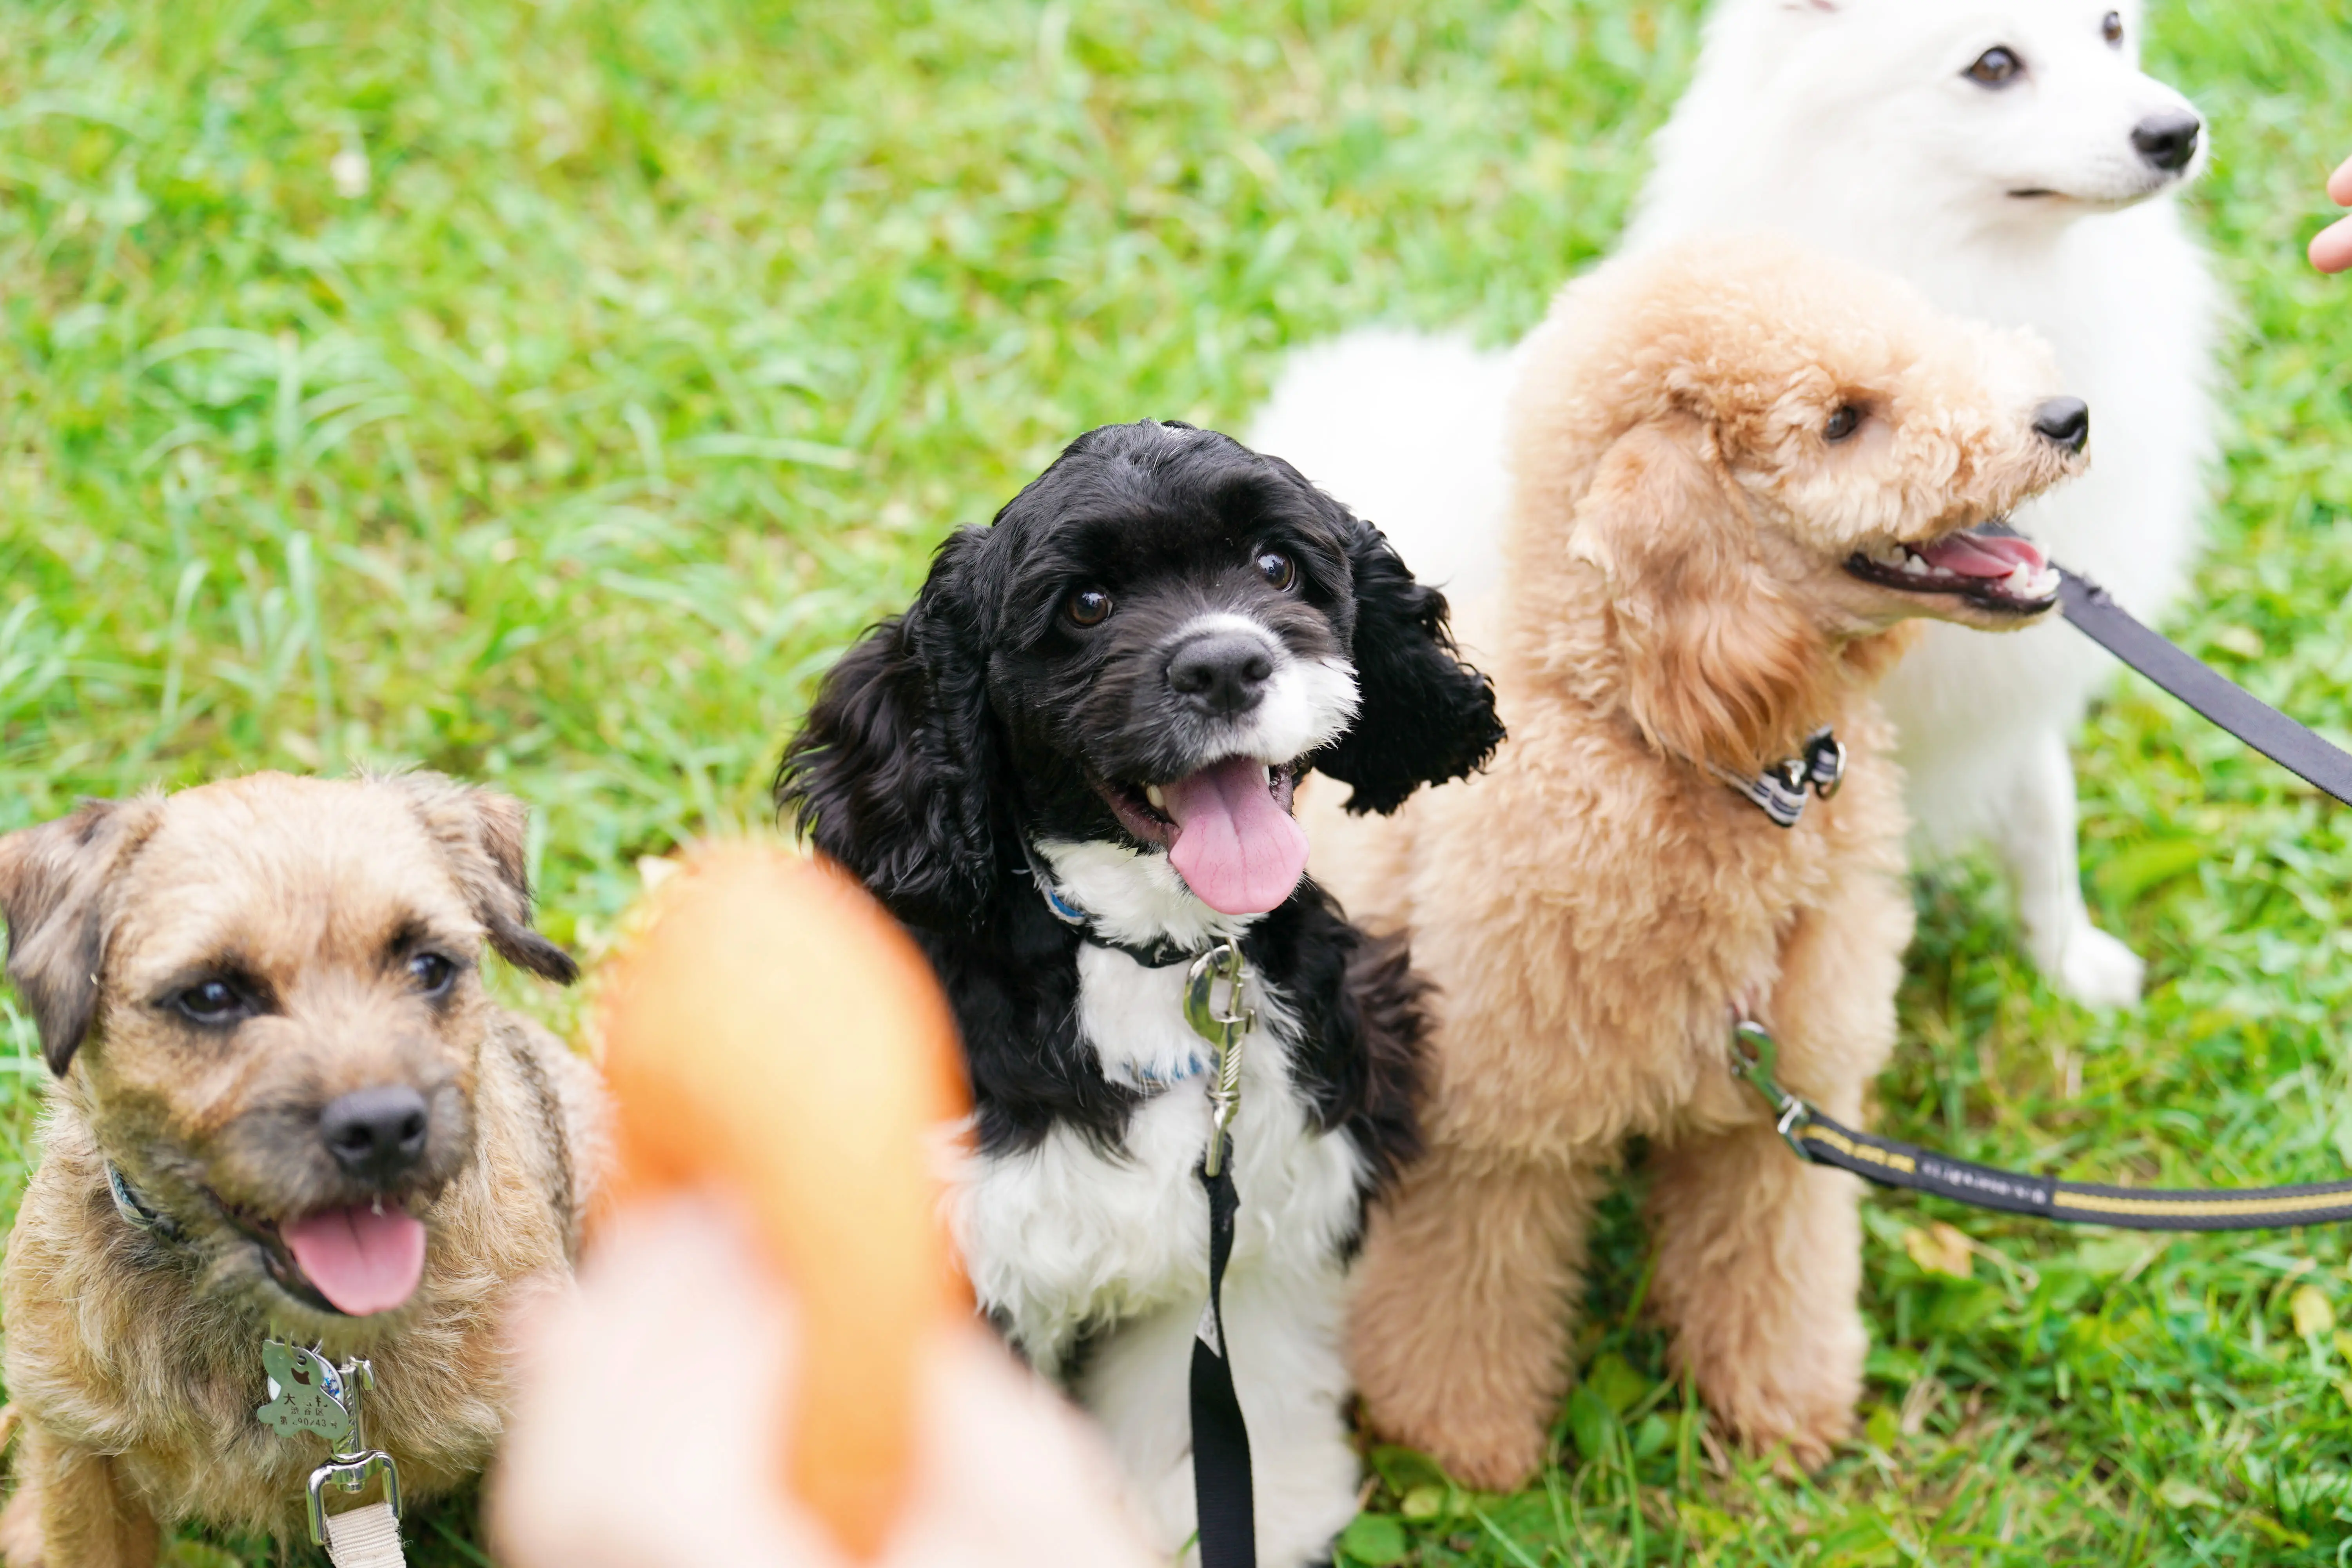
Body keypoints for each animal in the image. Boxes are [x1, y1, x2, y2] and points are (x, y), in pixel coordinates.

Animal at [781, 421, 1496, 1568]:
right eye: (1085, 604)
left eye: (1275, 566)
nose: (1225, 664)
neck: (1156, 953)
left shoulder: (1265, 1191)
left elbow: (1227, 1387)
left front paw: (1254, 1513)